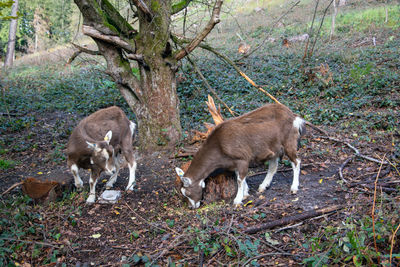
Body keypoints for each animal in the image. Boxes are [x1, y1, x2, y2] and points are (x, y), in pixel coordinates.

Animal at [176, 103, 306, 210]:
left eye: (187, 193)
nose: (191, 207)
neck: (219, 146)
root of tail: (294, 117)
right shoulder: (235, 163)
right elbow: (239, 176)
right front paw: (246, 193)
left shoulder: (242, 158)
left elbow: (239, 179)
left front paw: (237, 200)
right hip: (274, 148)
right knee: (273, 166)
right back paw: (263, 186)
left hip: (289, 142)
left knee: (296, 161)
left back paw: (294, 187)